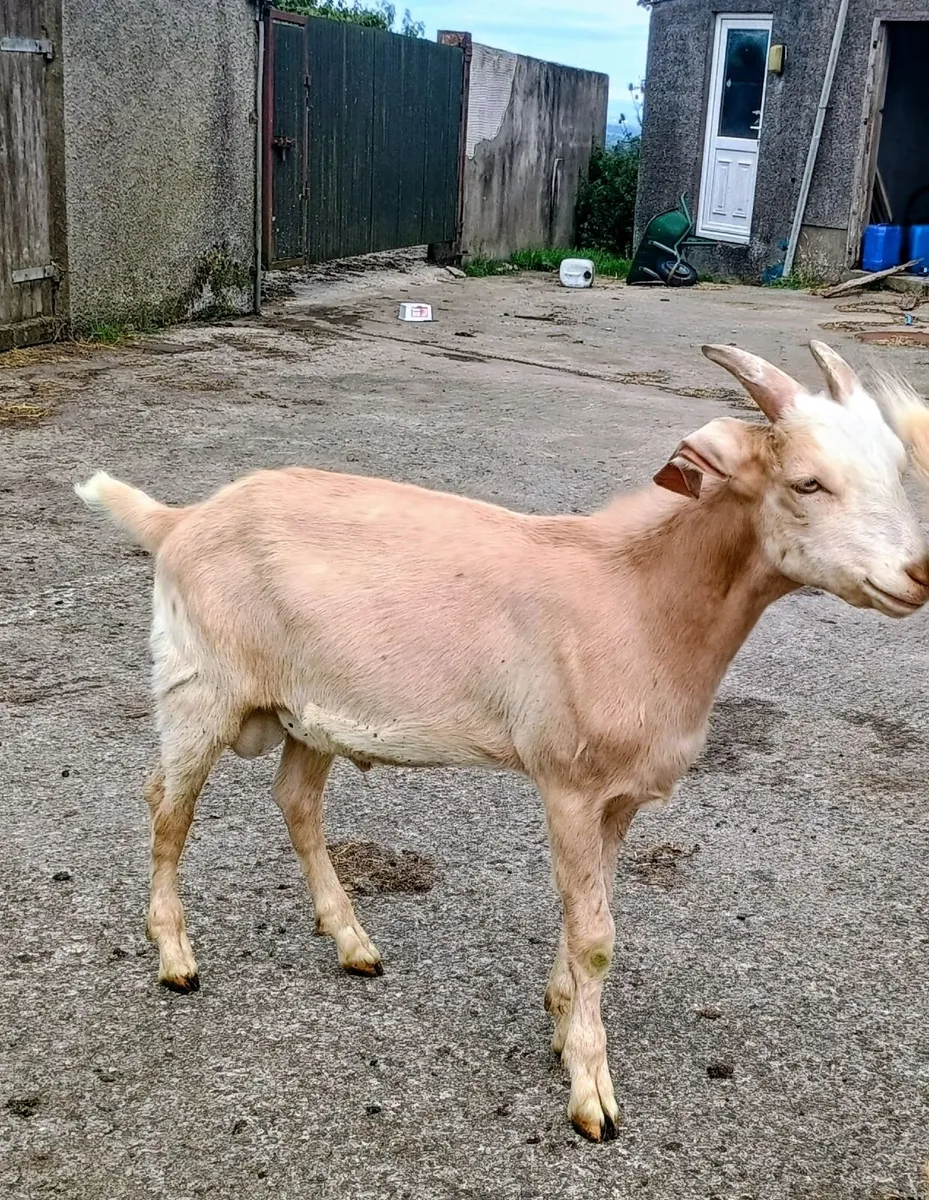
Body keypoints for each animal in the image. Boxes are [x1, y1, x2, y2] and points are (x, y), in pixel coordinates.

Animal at [76, 341, 929, 1141]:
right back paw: (176, 959)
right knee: (167, 806)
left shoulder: (616, 797)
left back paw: (352, 941)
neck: (637, 597)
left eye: (897, 469)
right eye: (807, 483)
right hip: (200, 689)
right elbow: (595, 936)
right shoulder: (569, 783)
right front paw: (591, 1094)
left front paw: (561, 1020)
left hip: (310, 707)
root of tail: (178, 521)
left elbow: (590, 913)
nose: (917, 573)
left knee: (295, 802)